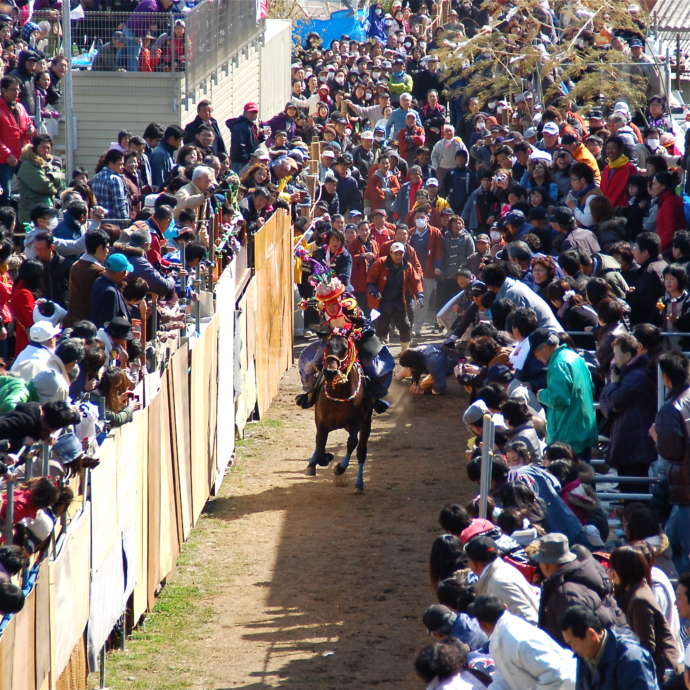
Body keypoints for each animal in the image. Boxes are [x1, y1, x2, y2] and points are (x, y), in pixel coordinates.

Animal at [306, 328, 374, 490]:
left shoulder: (356, 423)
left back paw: (359, 482)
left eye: (345, 348)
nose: (330, 372)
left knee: (360, 450)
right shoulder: (321, 423)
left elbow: (352, 443)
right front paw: (319, 460)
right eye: (327, 346)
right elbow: (320, 444)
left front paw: (339, 467)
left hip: (365, 424)